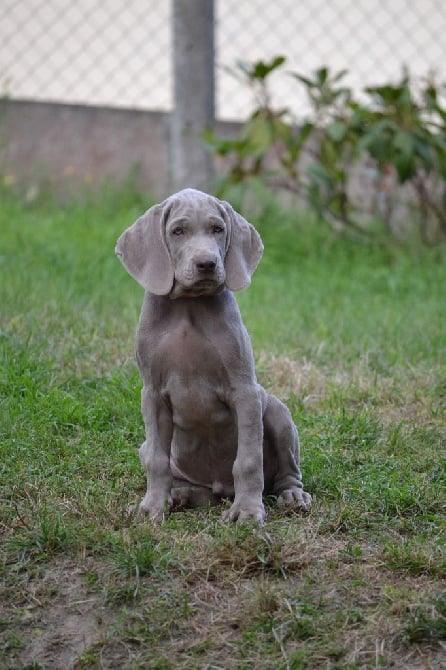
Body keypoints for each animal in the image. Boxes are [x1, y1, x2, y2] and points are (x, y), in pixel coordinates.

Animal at [115, 189, 310, 524]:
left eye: (218, 229)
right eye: (178, 231)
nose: (207, 263)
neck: (188, 308)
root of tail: (220, 487)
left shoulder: (245, 392)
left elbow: (248, 460)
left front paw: (247, 511)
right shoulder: (152, 394)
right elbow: (157, 460)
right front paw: (152, 507)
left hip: (277, 412)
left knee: (286, 473)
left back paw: (292, 495)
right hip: (149, 448)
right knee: (173, 471)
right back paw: (179, 495)